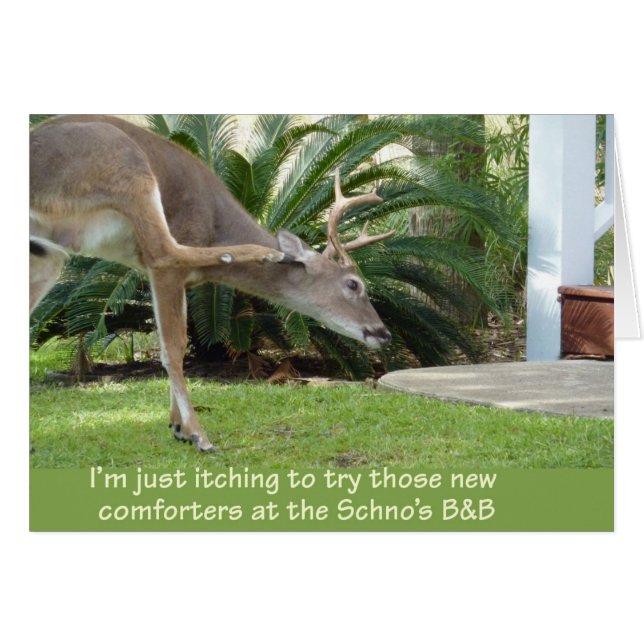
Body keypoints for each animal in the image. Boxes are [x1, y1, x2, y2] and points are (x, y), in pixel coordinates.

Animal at [29, 115, 394, 453]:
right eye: (353, 285)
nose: (383, 332)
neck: (217, 225)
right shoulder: (163, 269)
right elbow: (173, 346)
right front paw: (195, 434)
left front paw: (177, 426)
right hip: (124, 161)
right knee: (168, 250)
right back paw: (260, 254)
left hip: (48, 250)